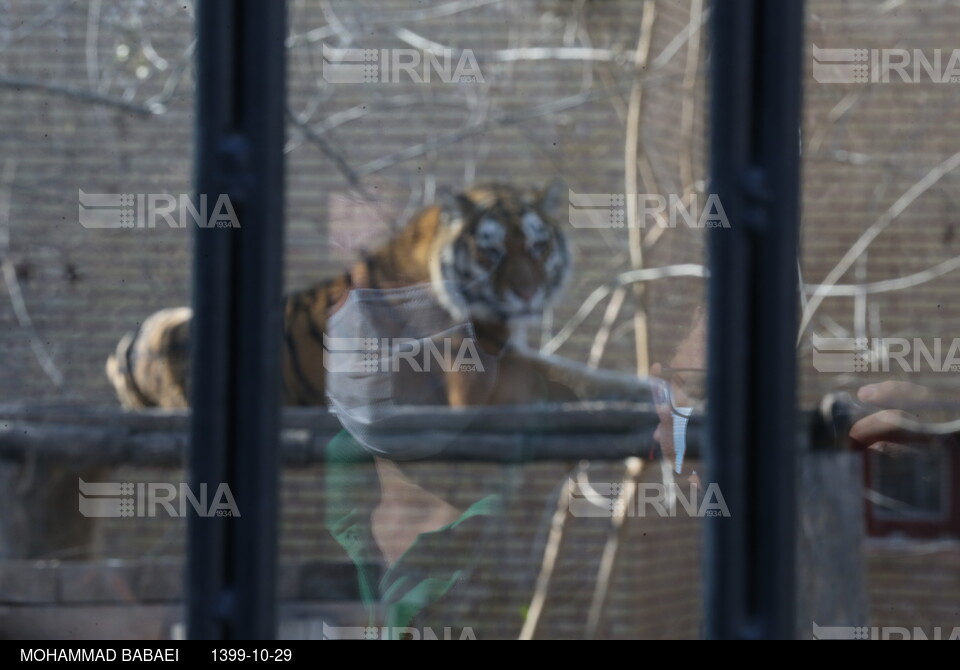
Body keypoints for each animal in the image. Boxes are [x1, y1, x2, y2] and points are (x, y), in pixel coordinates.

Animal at [107, 184, 660, 412]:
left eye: (538, 245)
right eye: (492, 251)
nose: (527, 291)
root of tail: (125, 352)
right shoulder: (475, 376)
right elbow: (570, 375)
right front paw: (649, 388)